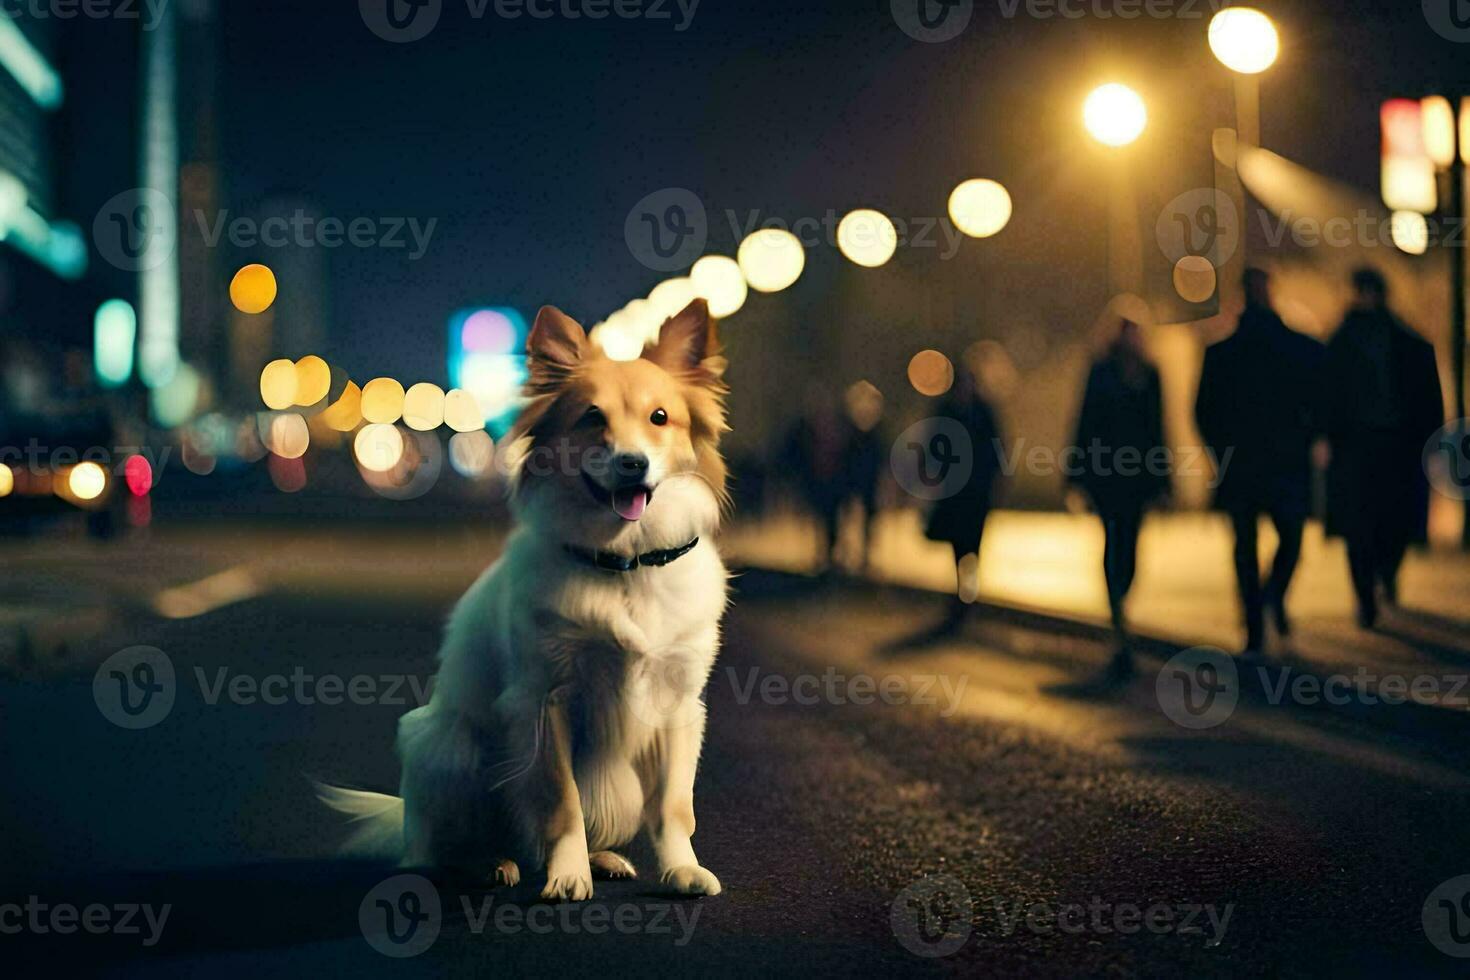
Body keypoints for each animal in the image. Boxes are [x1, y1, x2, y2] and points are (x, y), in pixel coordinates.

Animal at [324, 301, 732, 905]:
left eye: (660, 418)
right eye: (591, 418)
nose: (632, 462)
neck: (623, 563)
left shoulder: (679, 705)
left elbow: (674, 808)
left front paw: (682, 868)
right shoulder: (543, 702)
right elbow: (561, 804)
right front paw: (567, 875)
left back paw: (602, 857)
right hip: (444, 744)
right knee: (443, 847)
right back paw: (488, 863)